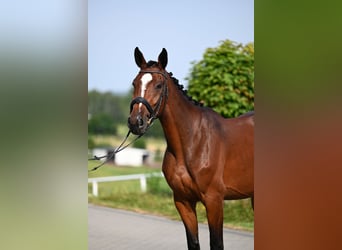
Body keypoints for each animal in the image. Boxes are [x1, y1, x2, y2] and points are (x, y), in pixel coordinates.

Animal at [127, 47, 252, 250]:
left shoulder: (214, 201)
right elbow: (193, 242)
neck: (193, 143)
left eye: (159, 85)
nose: (136, 122)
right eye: (134, 83)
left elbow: (216, 243)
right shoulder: (183, 201)